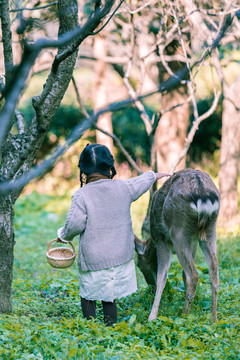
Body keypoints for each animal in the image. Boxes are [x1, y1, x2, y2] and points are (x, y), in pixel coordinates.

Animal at [134, 169, 220, 324]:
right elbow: (182, 274)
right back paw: (213, 318)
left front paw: (152, 317)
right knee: (214, 270)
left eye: (138, 265)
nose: (150, 288)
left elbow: (162, 276)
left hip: (178, 229)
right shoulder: (192, 241)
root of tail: (203, 193)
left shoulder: (161, 239)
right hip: (210, 229)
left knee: (193, 274)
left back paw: (184, 316)